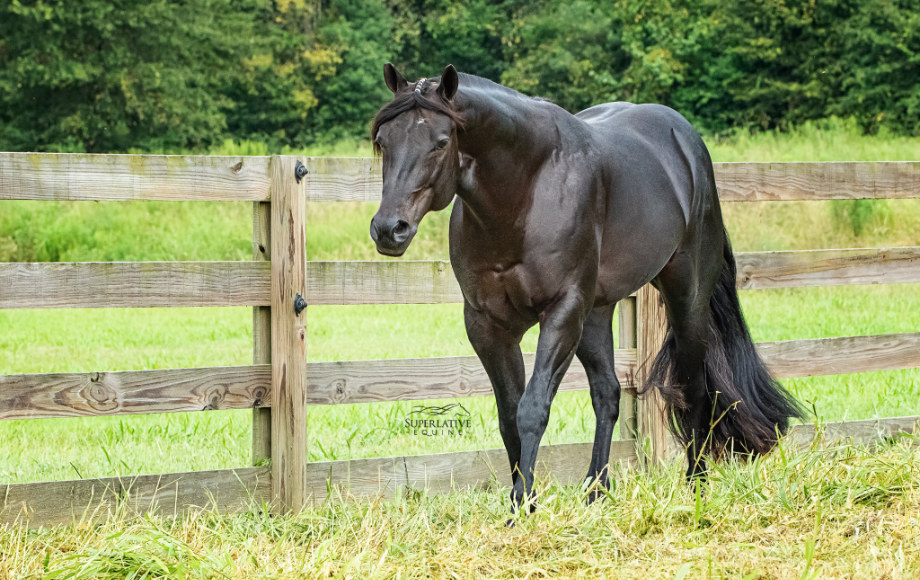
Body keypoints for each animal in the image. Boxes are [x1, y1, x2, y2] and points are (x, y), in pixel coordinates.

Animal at [369, 63, 804, 512]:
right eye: (382, 142)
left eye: (441, 143)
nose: (389, 229)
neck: (524, 194)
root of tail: (687, 143)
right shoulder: (488, 325)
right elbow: (509, 416)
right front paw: (524, 501)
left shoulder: (562, 312)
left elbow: (533, 409)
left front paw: (520, 509)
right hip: (596, 314)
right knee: (608, 393)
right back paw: (596, 489)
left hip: (685, 299)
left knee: (693, 387)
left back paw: (696, 484)